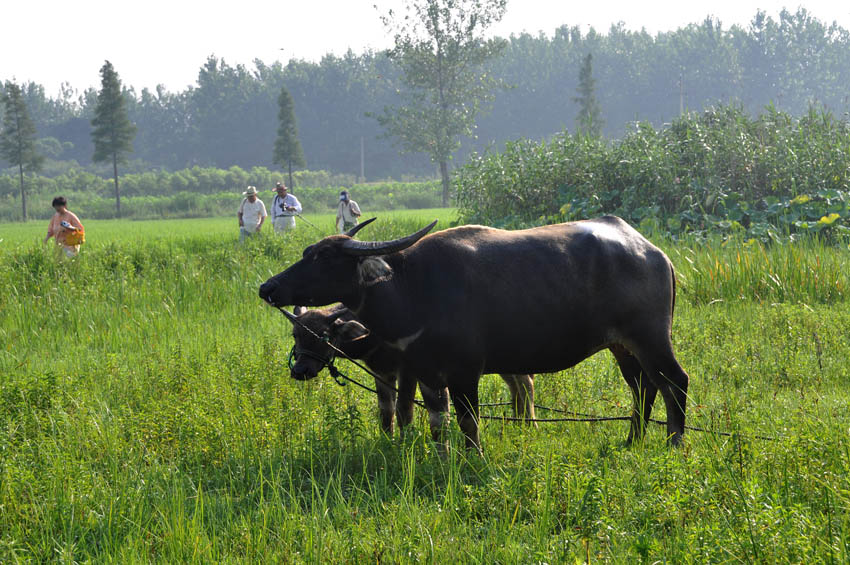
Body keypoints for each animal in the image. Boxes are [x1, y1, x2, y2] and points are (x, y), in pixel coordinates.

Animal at [284, 302, 536, 442]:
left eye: (323, 336)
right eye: (296, 334)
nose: (300, 370)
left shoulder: (408, 371)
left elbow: (404, 409)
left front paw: (404, 442)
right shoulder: (381, 371)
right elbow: (385, 410)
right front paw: (387, 440)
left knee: (526, 383)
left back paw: (530, 425)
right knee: (515, 385)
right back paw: (518, 422)